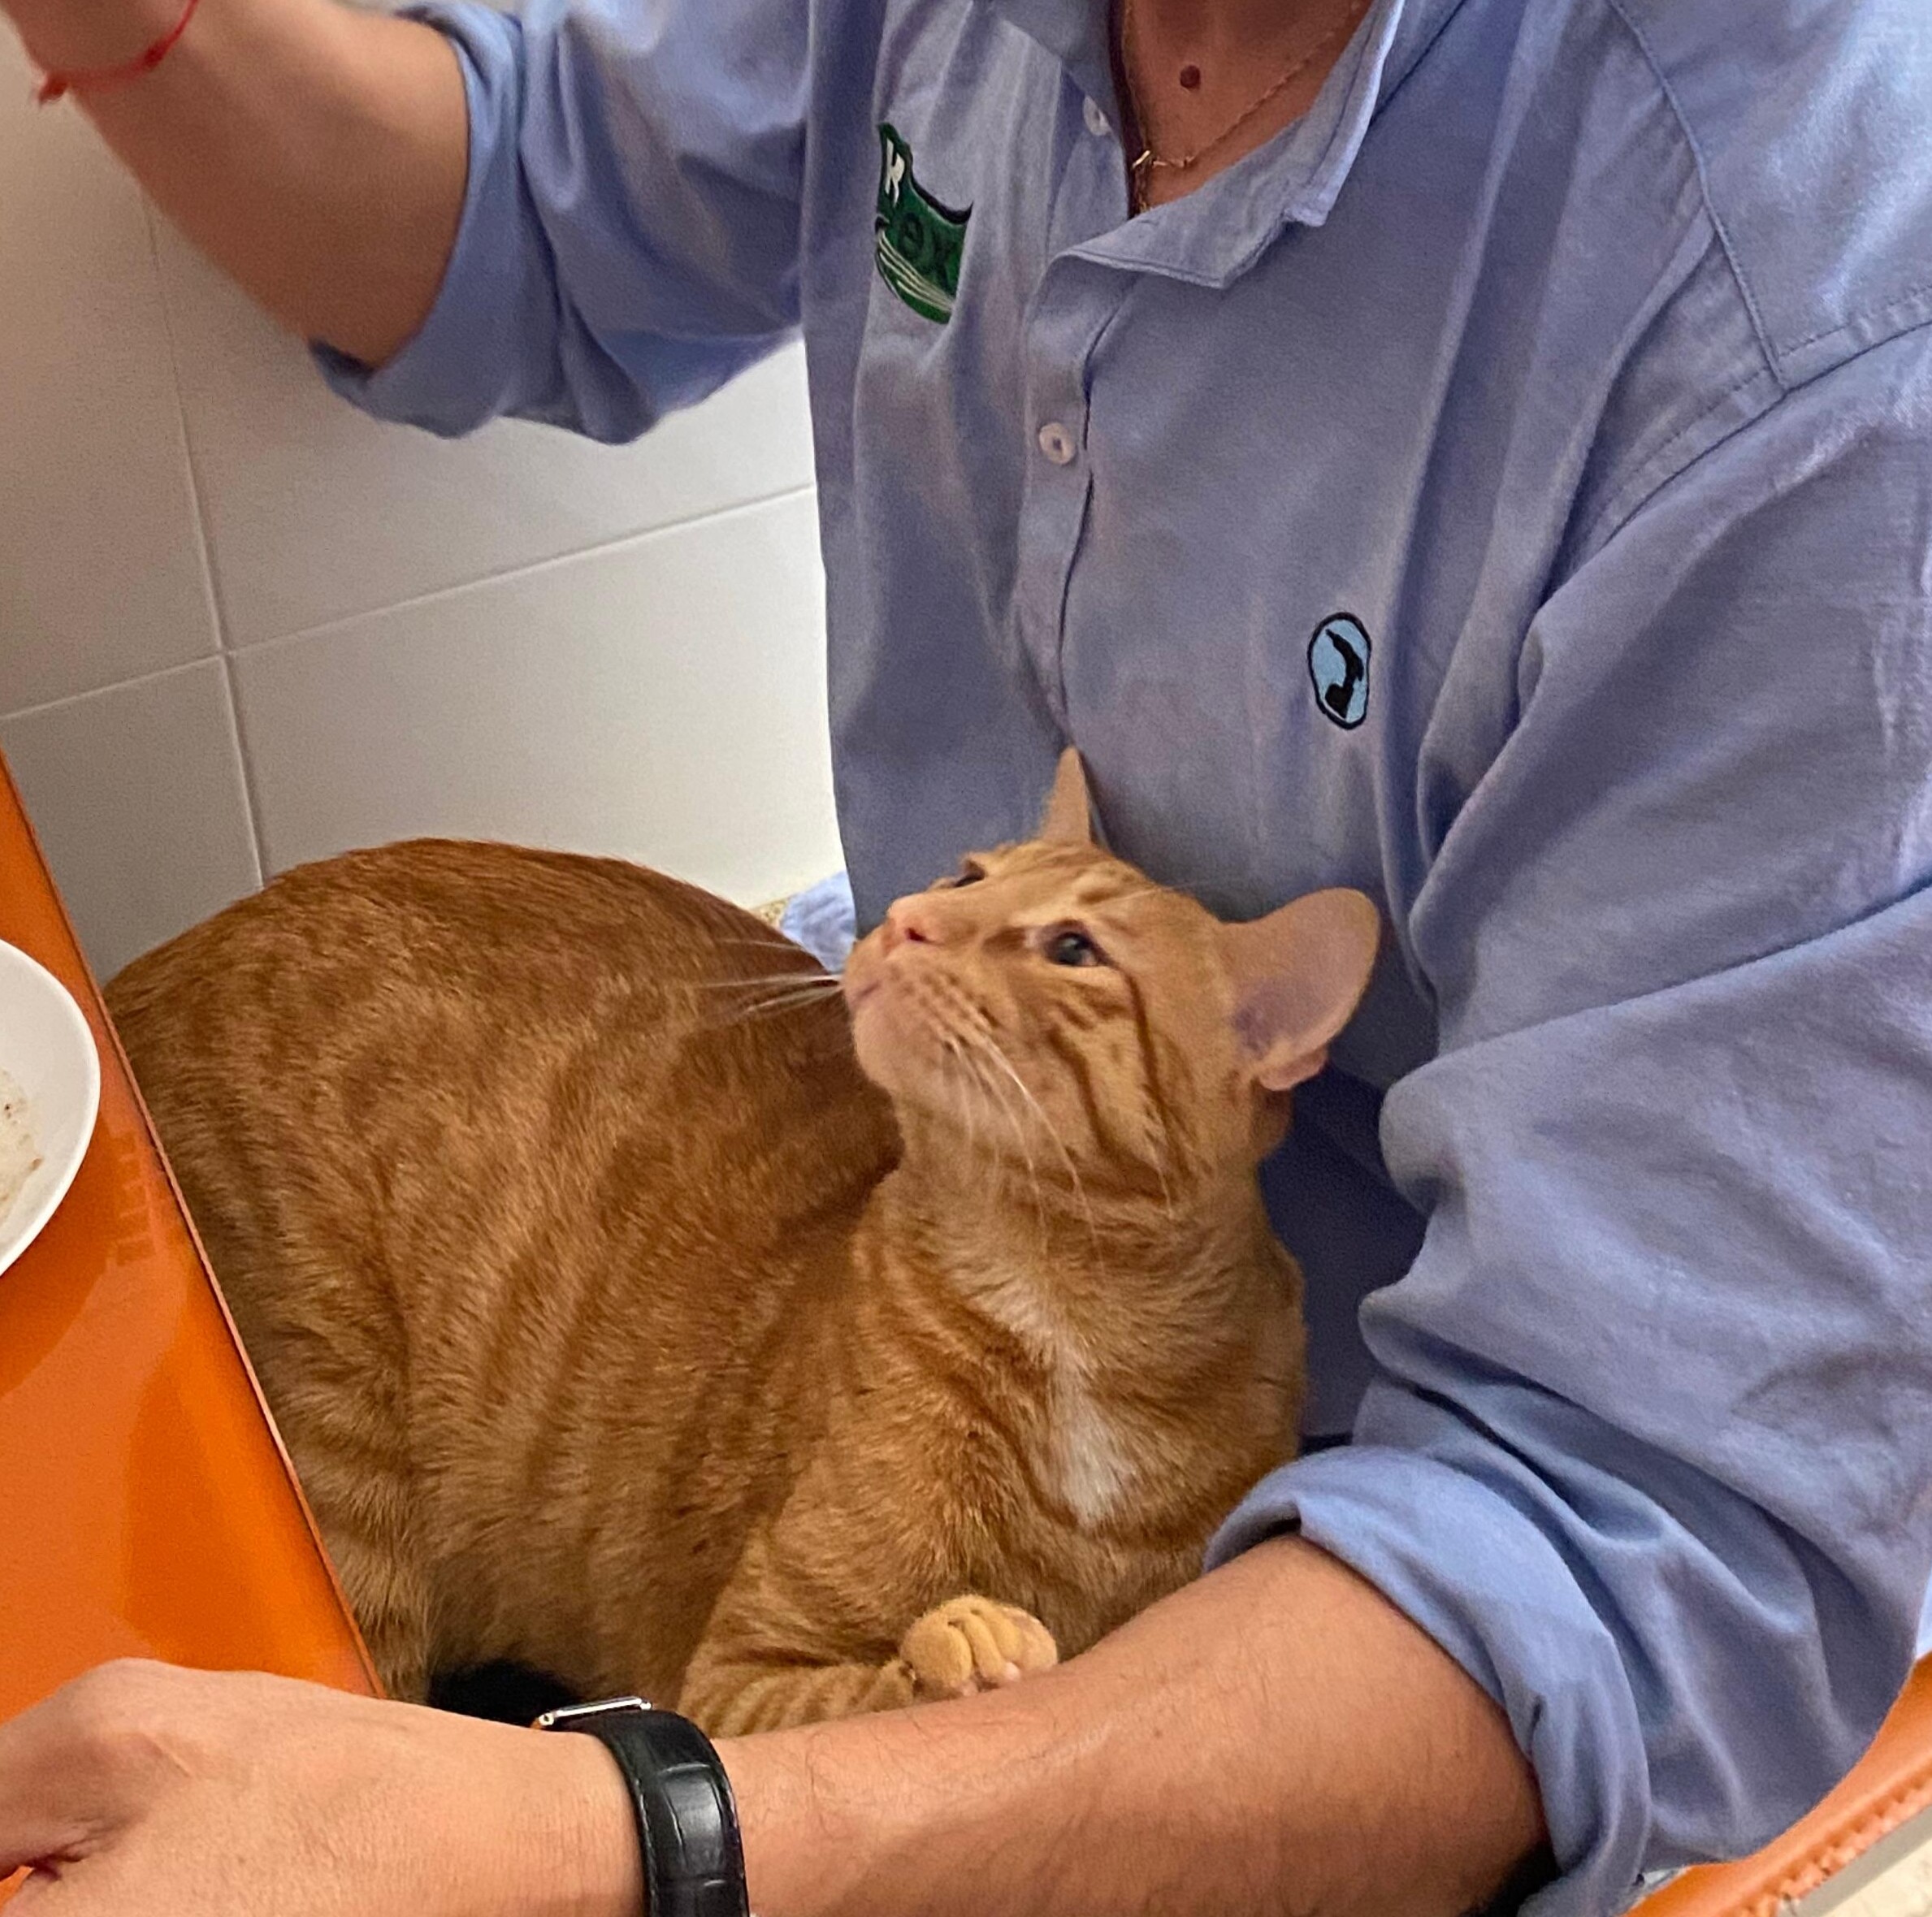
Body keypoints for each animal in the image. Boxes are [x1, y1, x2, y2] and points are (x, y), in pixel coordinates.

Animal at [105, 753, 1379, 1736]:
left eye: (1071, 948)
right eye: (967, 876)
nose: (908, 915)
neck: (1076, 1322)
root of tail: (144, 971)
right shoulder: (731, 1679)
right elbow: (875, 1678)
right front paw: (963, 1647)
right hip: (341, 1474)